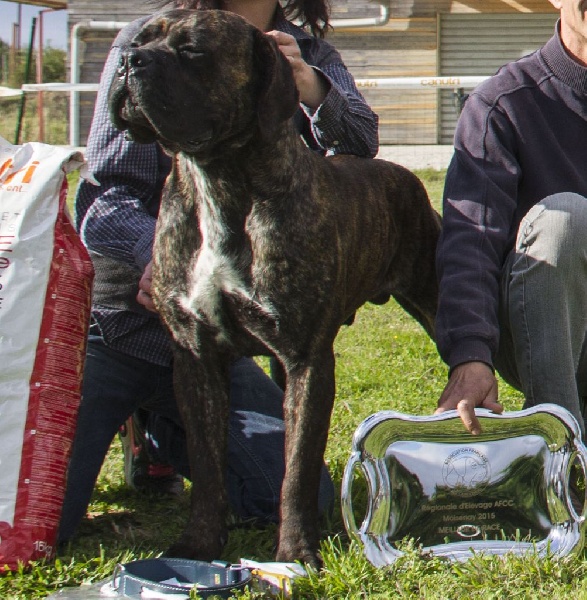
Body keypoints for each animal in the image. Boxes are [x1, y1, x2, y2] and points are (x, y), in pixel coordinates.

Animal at [109, 8, 441, 567]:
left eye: (193, 49)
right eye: (140, 39)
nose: (129, 61)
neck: (218, 181)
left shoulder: (307, 360)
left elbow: (297, 469)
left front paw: (295, 553)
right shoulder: (196, 360)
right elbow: (208, 466)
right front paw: (197, 547)